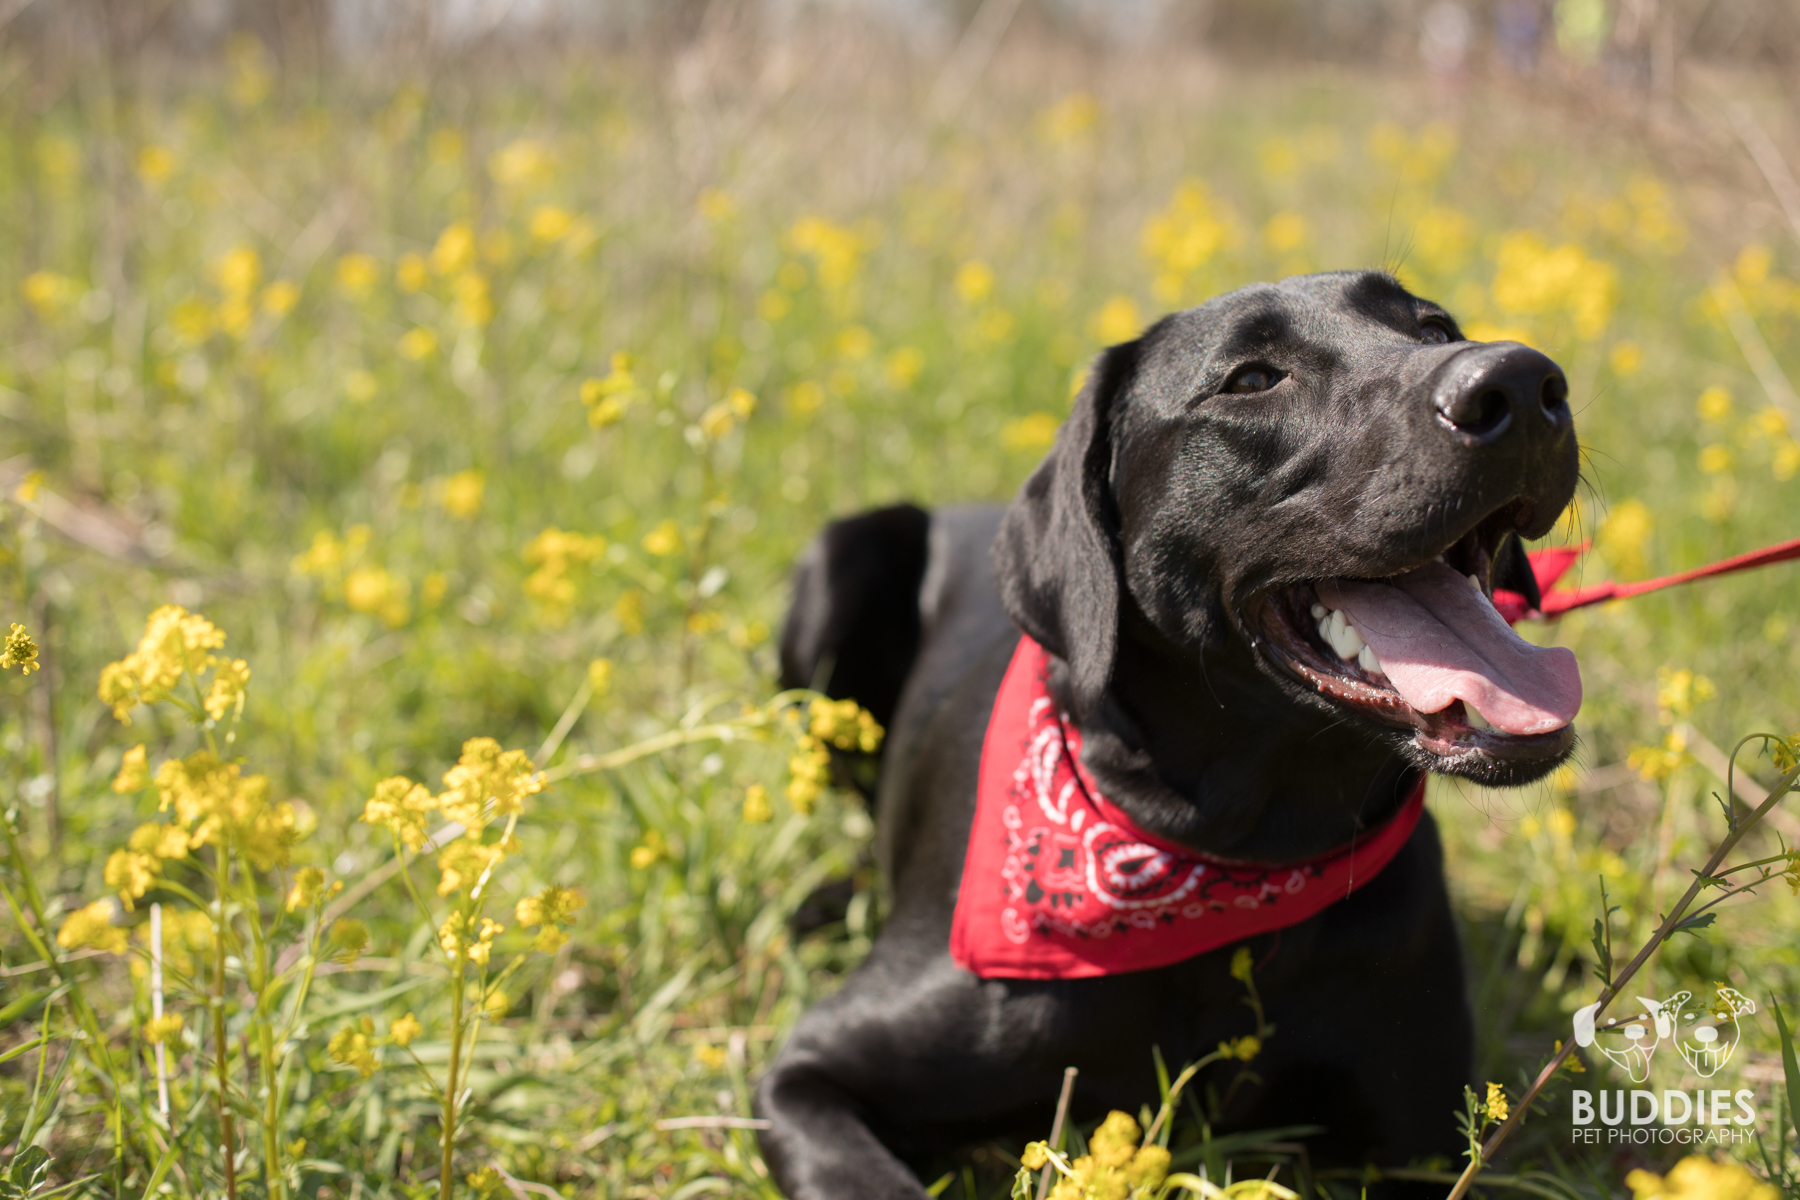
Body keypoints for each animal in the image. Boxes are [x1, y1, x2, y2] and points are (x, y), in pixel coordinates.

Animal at [756, 275, 1576, 1200]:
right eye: (1251, 379)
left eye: (1435, 328)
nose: (1522, 382)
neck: (1230, 858)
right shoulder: (807, 1068)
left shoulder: (1420, 1142)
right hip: (840, 568)